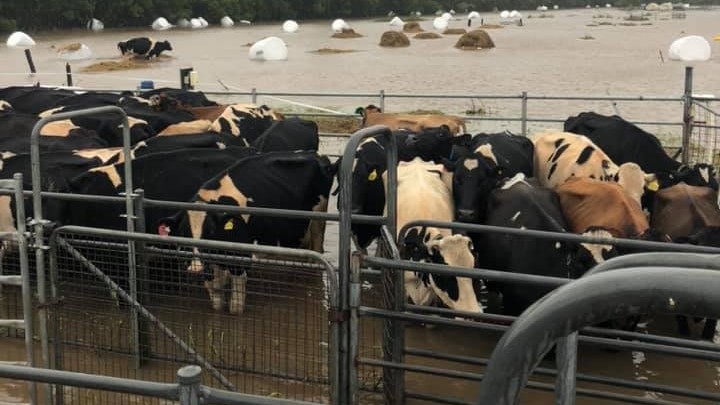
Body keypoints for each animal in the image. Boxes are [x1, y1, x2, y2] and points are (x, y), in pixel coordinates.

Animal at [156, 151, 336, 312]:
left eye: (210, 232)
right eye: (182, 233)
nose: (195, 269)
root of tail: (315, 155)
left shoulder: (240, 259)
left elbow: (235, 307)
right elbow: (216, 297)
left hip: (318, 222)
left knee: (317, 250)